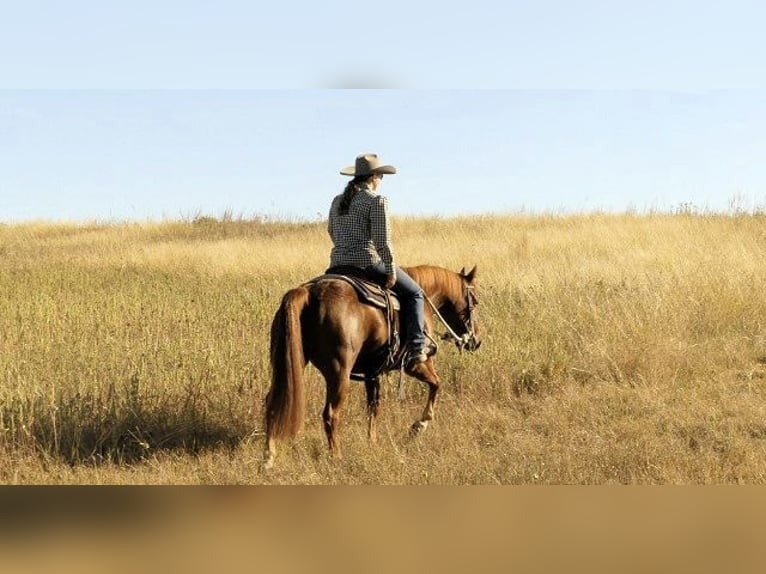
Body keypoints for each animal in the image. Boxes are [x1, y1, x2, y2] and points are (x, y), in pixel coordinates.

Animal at [262, 264, 481, 469]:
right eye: (475, 301)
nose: (476, 341)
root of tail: (308, 293)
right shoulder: (417, 363)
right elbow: (436, 384)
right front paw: (418, 426)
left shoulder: (372, 372)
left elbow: (373, 408)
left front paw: (372, 442)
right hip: (339, 374)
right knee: (331, 413)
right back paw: (336, 456)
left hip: (287, 365)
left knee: (273, 403)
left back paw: (269, 458)